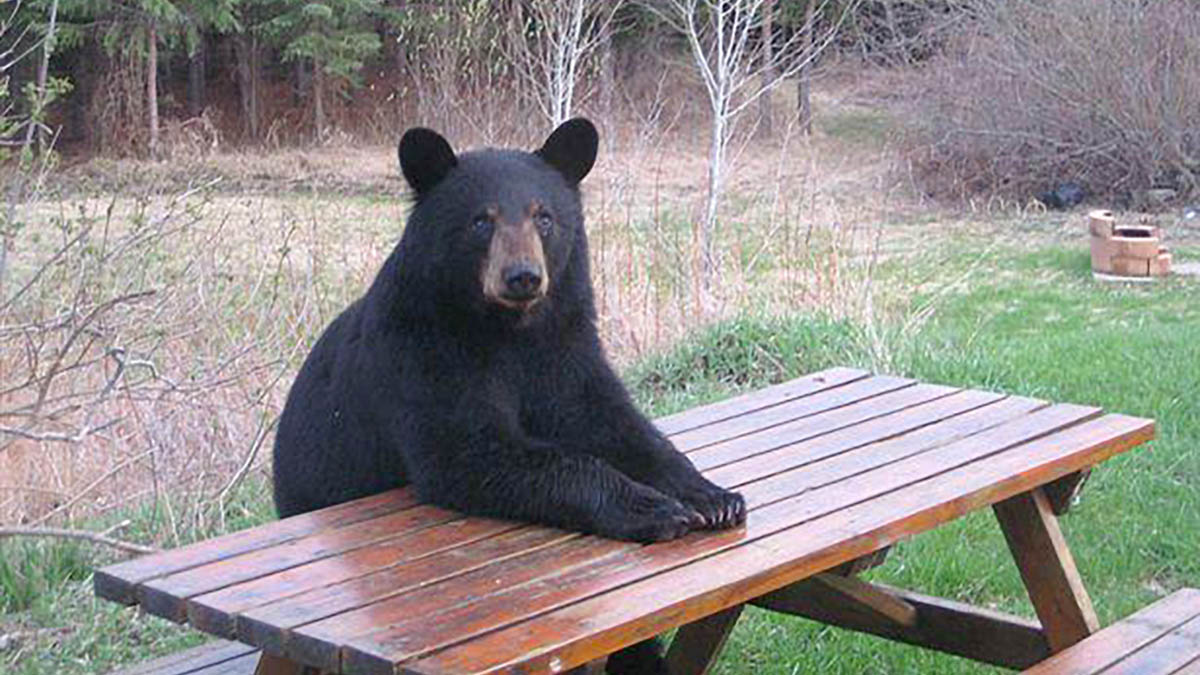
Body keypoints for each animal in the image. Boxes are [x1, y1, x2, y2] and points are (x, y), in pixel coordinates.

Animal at [272, 118, 746, 672]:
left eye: (544, 217)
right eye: (482, 221)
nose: (523, 276)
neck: (507, 330)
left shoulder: (563, 347)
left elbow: (612, 422)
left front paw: (711, 495)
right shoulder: (422, 353)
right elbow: (471, 450)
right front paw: (653, 507)